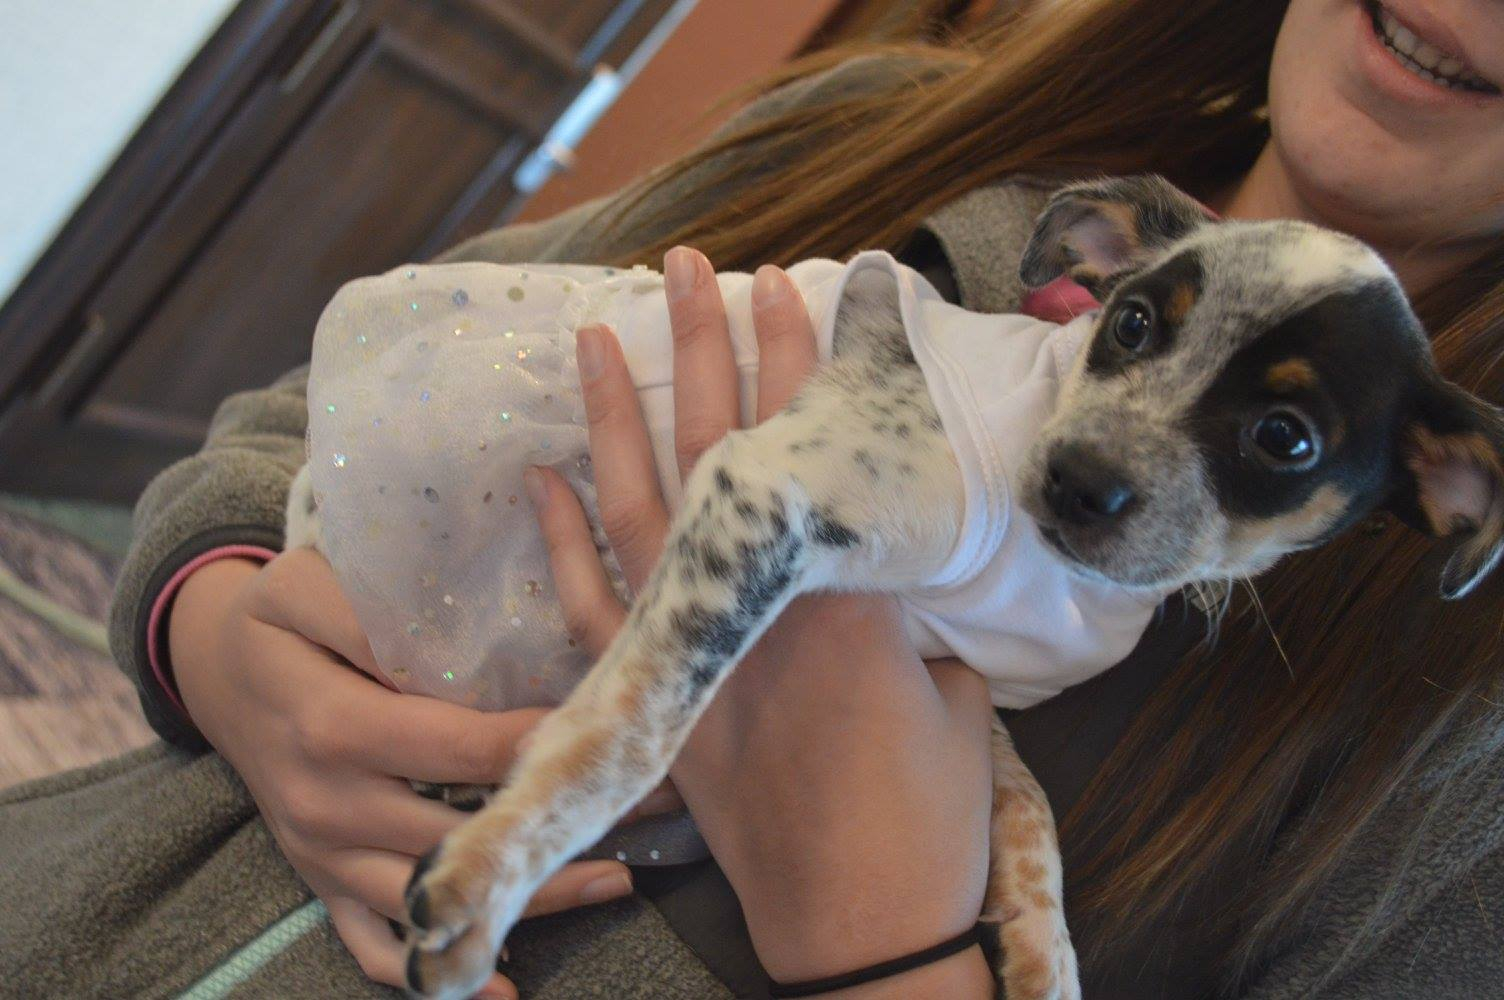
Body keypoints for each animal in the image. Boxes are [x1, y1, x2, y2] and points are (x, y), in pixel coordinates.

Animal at [287, 175, 1504, 992]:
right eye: (1132, 323)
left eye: (1285, 437)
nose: (1075, 480)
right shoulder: (763, 489)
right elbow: (632, 735)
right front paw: (492, 879)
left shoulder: (956, 670)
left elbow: (1030, 820)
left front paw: (1043, 958)